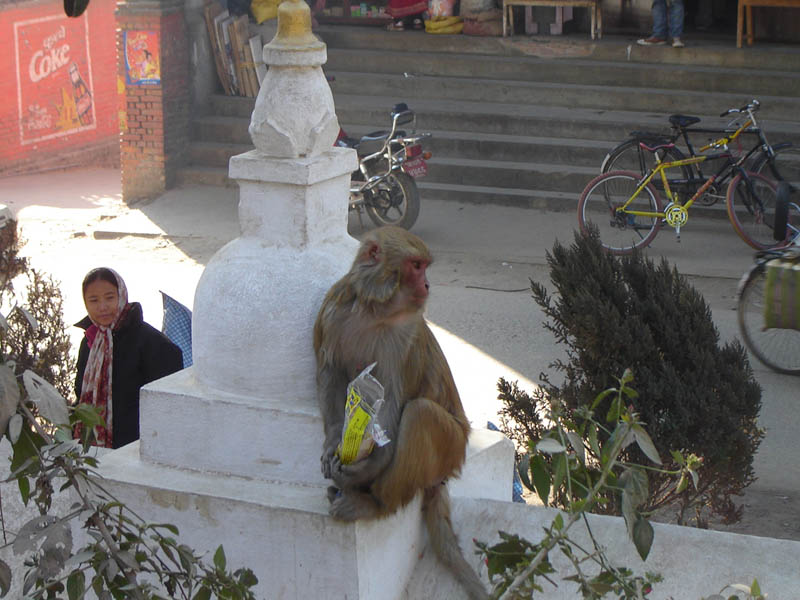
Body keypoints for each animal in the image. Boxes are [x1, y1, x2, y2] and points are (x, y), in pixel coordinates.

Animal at [312, 226, 488, 600]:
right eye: (416, 266)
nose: (428, 285)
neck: (373, 311)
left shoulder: (404, 332)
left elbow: (393, 398)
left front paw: (367, 467)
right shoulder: (334, 308)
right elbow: (330, 372)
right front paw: (334, 441)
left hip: (452, 447)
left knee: (420, 413)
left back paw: (375, 503)